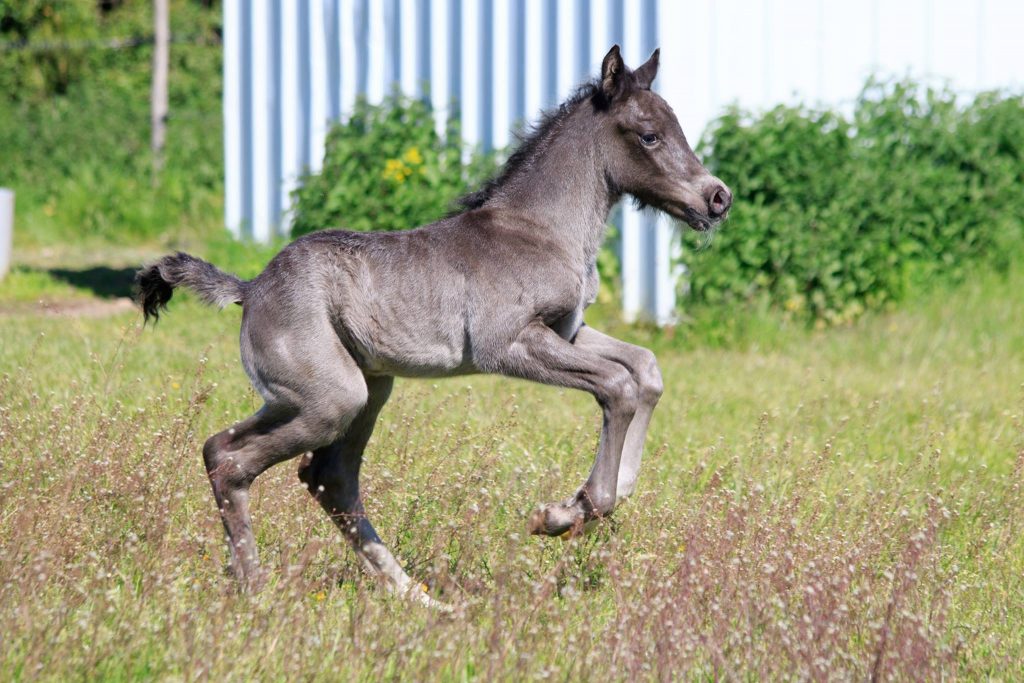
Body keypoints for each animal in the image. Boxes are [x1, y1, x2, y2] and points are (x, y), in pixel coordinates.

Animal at [138, 46, 729, 602]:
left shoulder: (566, 331)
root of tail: (251, 288)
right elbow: (617, 385)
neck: (539, 229)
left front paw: (599, 496)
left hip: (359, 390)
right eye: (649, 135)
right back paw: (256, 590)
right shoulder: (507, 345)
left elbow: (645, 369)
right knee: (234, 460)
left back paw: (414, 596)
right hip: (330, 398)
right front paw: (565, 514)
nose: (717, 197)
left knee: (316, 474)